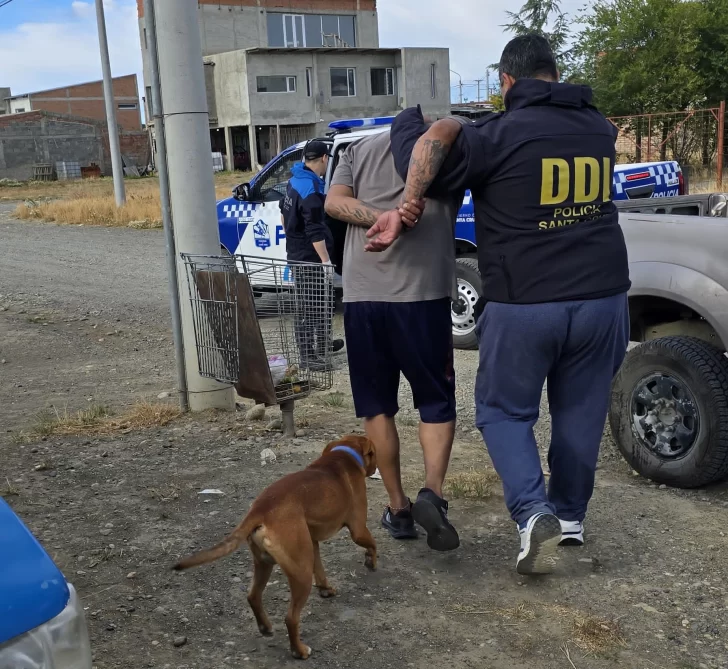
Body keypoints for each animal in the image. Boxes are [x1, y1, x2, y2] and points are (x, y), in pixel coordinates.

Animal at [173, 434, 378, 656]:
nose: (375, 468)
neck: (344, 454)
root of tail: (260, 510)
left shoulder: (312, 543)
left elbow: (320, 570)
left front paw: (325, 588)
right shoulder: (358, 529)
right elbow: (372, 543)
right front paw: (371, 561)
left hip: (265, 563)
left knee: (253, 596)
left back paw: (265, 628)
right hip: (301, 574)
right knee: (290, 618)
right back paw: (300, 651)